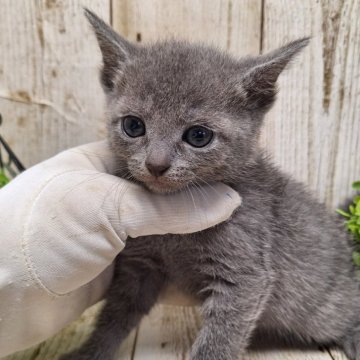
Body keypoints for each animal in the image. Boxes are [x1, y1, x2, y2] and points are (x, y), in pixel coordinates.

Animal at [60, 10, 358, 360]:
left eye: (198, 136)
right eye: (133, 126)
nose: (156, 164)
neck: (173, 234)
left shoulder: (245, 277)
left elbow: (219, 341)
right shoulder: (139, 265)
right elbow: (113, 317)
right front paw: (88, 352)